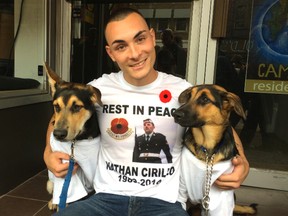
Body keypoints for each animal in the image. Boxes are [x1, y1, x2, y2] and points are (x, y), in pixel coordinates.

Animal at [44, 62, 103, 211]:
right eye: (56, 106)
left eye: (77, 107)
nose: (58, 134)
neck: (76, 141)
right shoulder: (63, 166)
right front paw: (59, 205)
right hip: (50, 181)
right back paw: (53, 202)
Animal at [171, 85, 256, 215]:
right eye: (189, 96)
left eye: (205, 99)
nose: (175, 114)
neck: (206, 148)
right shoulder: (182, 189)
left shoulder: (221, 200)